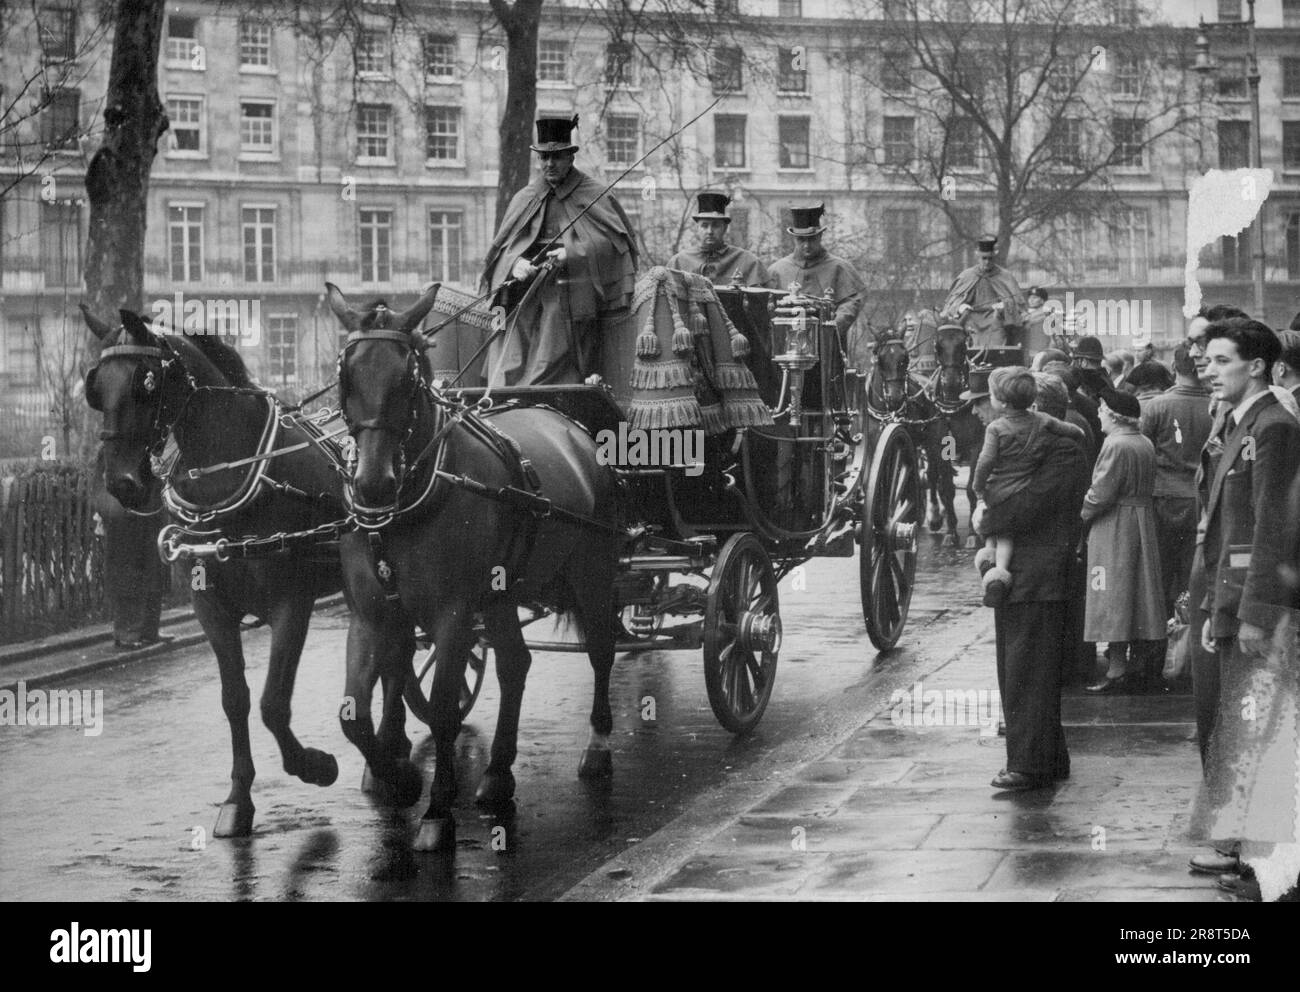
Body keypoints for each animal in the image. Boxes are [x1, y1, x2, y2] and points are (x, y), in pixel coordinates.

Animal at [81, 306, 369, 832]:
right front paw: (238, 799)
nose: (124, 483)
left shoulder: (291, 603)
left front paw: (315, 766)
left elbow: (273, 703)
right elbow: (235, 699)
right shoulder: (210, 606)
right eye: (96, 386)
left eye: (146, 381)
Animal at [327, 284, 626, 852]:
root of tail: (572, 427)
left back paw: (598, 746)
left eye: (407, 378)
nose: (373, 484)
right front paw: (399, 778)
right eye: (346, 375)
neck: (409, 505)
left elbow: (444, 709)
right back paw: (497, 775)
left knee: (602, 649)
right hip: (501, 595)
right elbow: (354, 711)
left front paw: (437, 810)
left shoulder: (453, 615)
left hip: (592, 570)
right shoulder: (372, 616)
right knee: (515, 665)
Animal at [868, 340, 961, 543]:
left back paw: (940, 520)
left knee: (935, 476)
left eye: (905, 359)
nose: (896, 397)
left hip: (933, 441)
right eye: (880, 360)